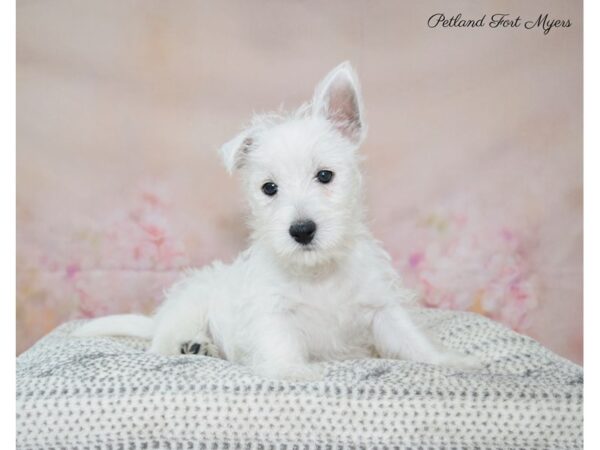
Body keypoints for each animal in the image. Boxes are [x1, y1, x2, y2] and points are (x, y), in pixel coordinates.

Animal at [75, 62, 478, 380]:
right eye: (269, 188)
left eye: (325, 175)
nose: (301, 230)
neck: (318, 272)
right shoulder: (272, 310)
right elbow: (280, 342)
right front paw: (291, 371)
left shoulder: (380, 307)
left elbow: (411, 337)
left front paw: (451, 361)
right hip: (189, 303)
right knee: (163, 340)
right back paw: (192, 344)